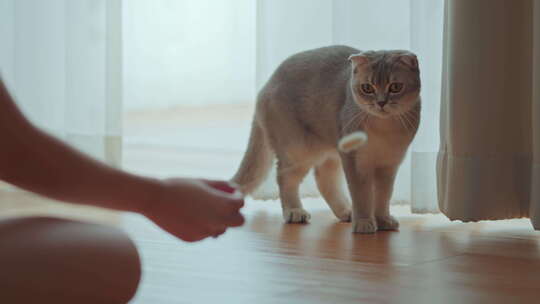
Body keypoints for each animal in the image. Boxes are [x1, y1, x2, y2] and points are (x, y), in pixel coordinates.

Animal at [230, 45, 420, 233]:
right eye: (367, 88)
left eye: (395, 87)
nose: (381, 103)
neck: (384, 129)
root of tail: (266, 84)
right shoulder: (356, 162)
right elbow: (362, 195)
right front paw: (364, 222)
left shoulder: (389, 165)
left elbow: (383, 196)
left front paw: (382, 220)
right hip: (299, 149)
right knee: (285, 176)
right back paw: (295, 211)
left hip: (331, 151)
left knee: (323, 178)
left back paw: (346, 211)